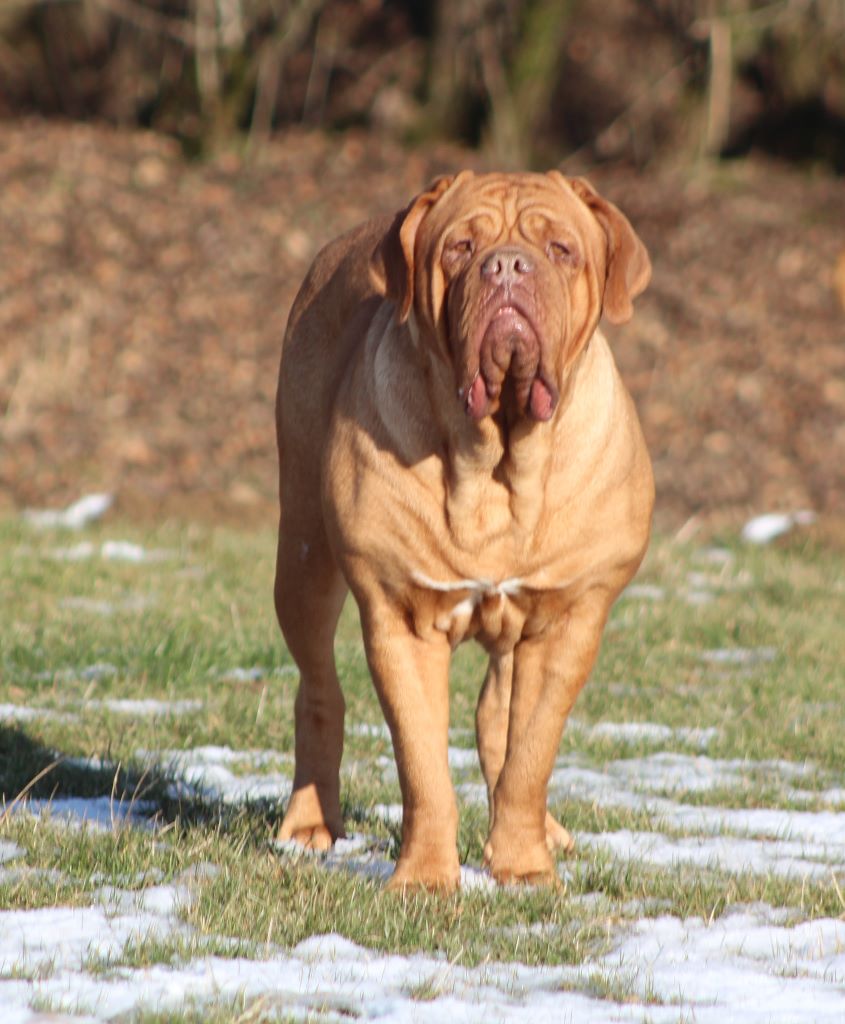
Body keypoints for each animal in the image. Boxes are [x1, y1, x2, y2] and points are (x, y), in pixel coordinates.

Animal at [272, 169, 651, 888]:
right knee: (318, 689)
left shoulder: (568, 622)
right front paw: (423, 877)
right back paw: (309, 825)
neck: (498, 456)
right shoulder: (400, 621)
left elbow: (528, 756)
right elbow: (423, 767)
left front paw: (523, 867)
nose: (506, 266)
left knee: (497, 722)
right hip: (303, 559)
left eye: (561, 249)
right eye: (459, 248)